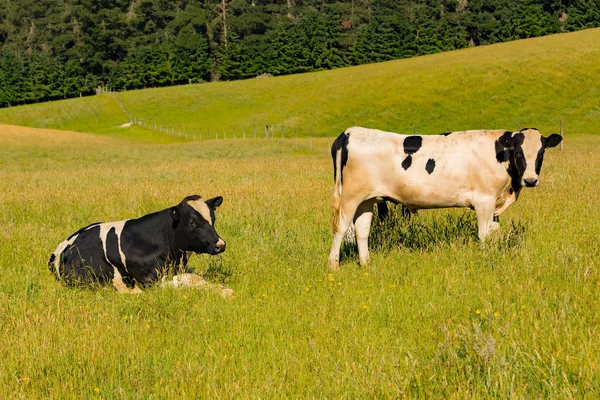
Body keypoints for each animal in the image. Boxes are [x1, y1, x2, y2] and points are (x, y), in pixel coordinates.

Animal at [49, 195, 233, 296]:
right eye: (192, 222)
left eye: (213, 219)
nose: (220, 244)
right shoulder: (150, 281)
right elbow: (187, 279)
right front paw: (224, 292)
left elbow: (196, 277)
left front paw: (224, 289)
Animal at [328, 126, 564, 268]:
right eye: (518, 152)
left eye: (541, 152)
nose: (531, 180)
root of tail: (350, 132)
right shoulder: (484, 200)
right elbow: (484, 234)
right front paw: (486, 257)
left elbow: (494, 231)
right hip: (350, 197)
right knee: (341, 228)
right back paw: (333, 264)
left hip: (367, 199)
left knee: (361, 230)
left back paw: (366, 263)